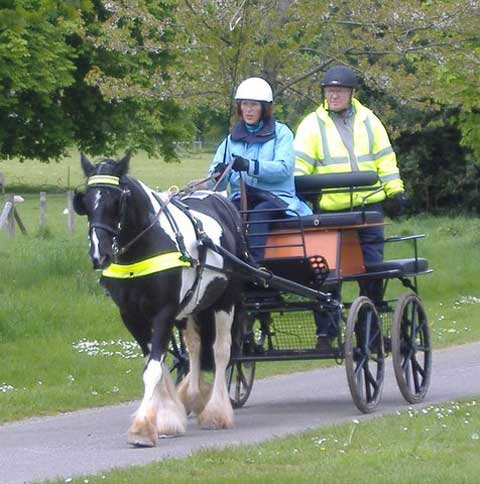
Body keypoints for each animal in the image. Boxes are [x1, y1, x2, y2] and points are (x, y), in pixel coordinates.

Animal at [74, 155, 248, 446]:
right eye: (85, 201)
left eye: (116, 201)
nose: (99, 254)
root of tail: (219, 197)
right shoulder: (132, 317)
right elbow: (155, 365)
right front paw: (167, 416)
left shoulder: (163, 313)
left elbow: (154, 369)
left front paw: (143, 427)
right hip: (191, 307)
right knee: (195, 347)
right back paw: (192, 396)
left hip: (226, 301)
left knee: (221, 350)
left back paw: (216, 412)